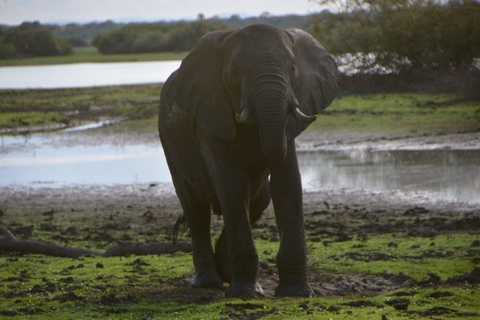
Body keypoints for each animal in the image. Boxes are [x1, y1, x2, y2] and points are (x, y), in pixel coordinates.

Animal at [158, 24, 338, 298]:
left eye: (292, 69)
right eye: (234, 72)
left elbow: (287, 184)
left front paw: (296, 292)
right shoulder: (212, 114)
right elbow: (233, 187)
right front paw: (245, 293)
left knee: (258, 198)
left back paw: (224, 270)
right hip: (170, 145)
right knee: (195, 207)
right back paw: (208, 282)